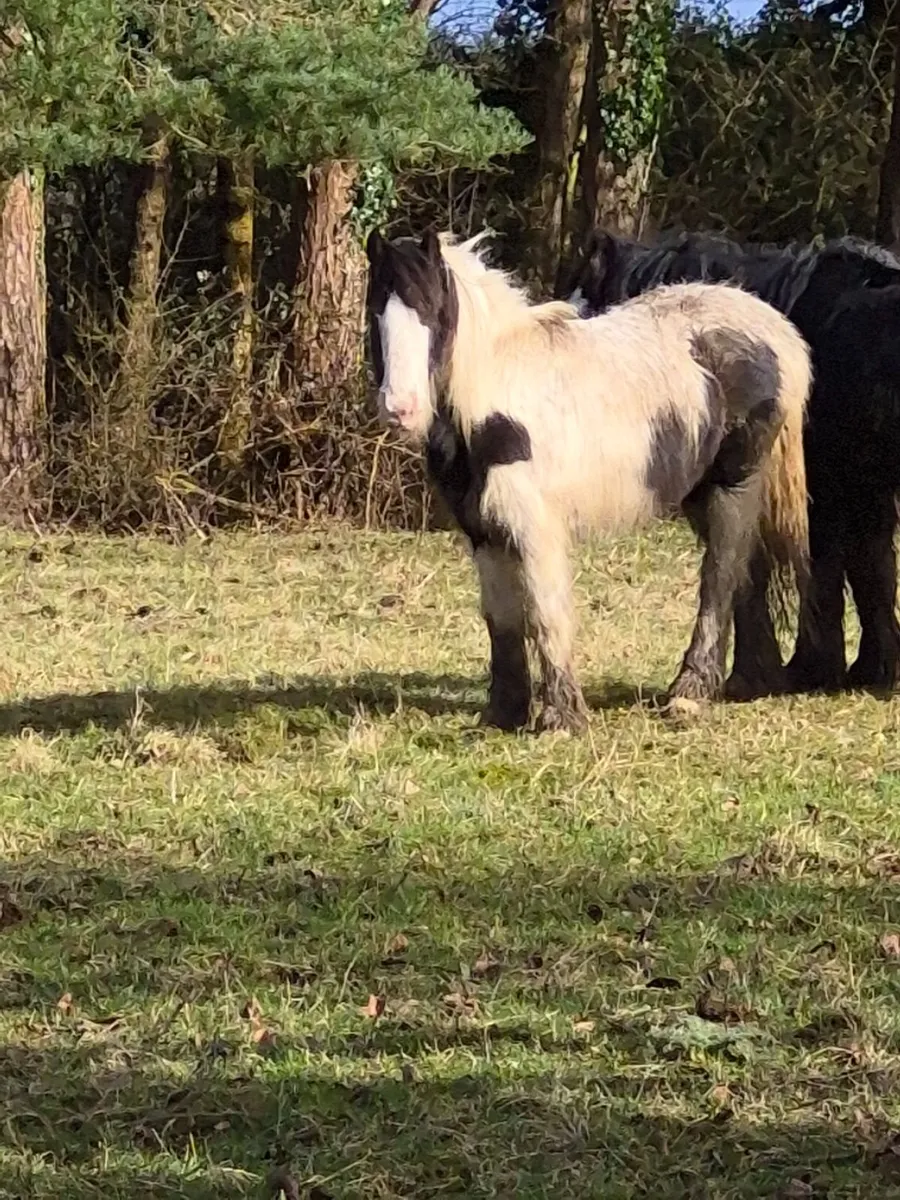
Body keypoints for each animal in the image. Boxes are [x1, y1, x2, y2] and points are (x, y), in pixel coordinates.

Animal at [365, 228, 812, 733]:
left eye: (431, 310)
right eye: (376, 309)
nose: (400, 409)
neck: (493, 400)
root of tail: (780, 334)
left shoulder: (534, 526)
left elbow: (545, 611)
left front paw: (561, 718)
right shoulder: (484, 533)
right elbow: (501, 619)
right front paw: (503, 713)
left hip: (732, 484)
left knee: (721, 575)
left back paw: (690, 693)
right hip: (702, 494)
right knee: (747, 572)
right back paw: (746, 682)